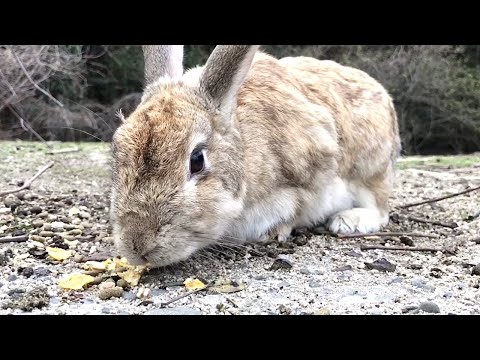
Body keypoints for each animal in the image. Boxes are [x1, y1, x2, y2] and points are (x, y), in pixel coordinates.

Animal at [109, 45, 402, 268]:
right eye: (117, 149)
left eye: (197, 160)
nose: (138, 247)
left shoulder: (314, 172)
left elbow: (297, 207)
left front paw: (274, 232)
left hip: (370, 169)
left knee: (380, 208)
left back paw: (348, 222)